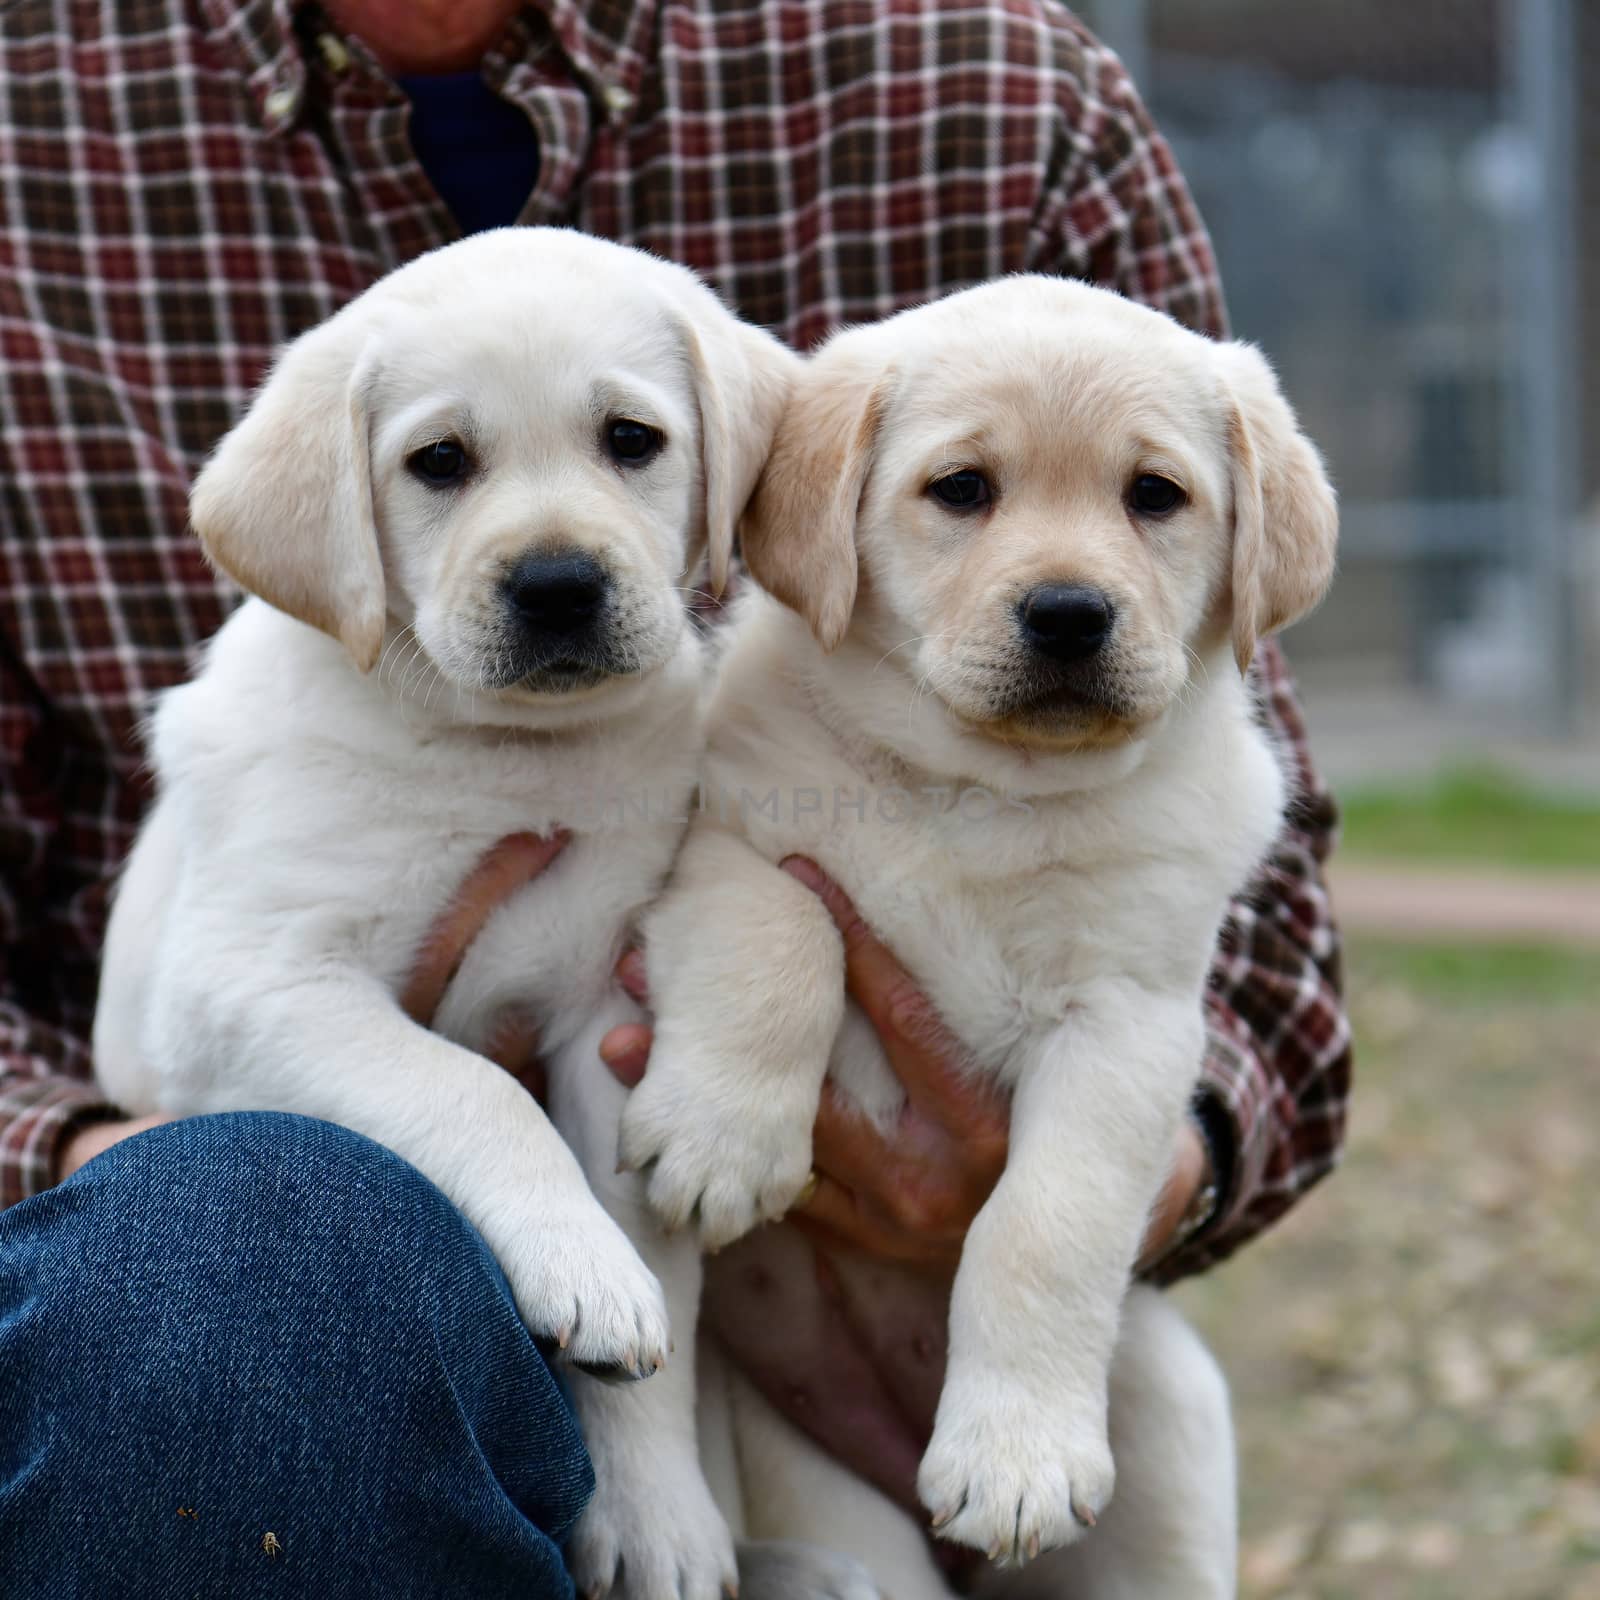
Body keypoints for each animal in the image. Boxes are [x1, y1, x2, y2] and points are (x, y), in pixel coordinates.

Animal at [95, 232, 883, 1600]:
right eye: (439, 463)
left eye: (631, 439)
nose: (558, 584)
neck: (501, 752)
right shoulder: (255, 985)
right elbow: (471, 1090)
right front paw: (576, 1262)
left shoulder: (608, 1011)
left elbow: (656, 1284)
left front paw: (655, 1513)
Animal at [624, 275, 1337, 1587]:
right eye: (961, 489)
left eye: (1153, 494)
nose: (1067, 613)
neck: (986, 796)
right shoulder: (729, 846)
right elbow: (783, 939)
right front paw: (721, 1138)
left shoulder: (1128, 1023)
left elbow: (1042, 1223)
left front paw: (1015, 1458)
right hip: (832, 1505)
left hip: (1166, 1430)